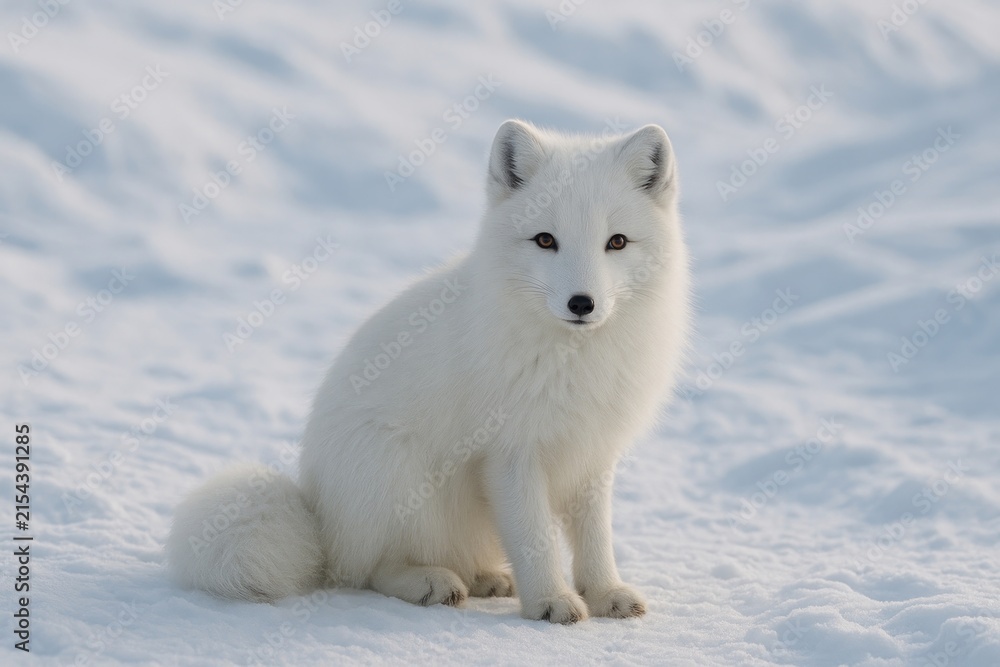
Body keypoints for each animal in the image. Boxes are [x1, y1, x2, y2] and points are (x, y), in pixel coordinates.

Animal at [167, 118, 691, 624]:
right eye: (546, 240)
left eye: (616, 242)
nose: (582, 303)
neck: (574, 359)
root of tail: (319, 515)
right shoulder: (510, 454)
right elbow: (534, 537)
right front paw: (550, 602)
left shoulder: (594, 453)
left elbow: (595, 539)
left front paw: (604, 594)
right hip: (398, 472)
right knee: (369, 569)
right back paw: (431, 583)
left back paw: (486, 578)